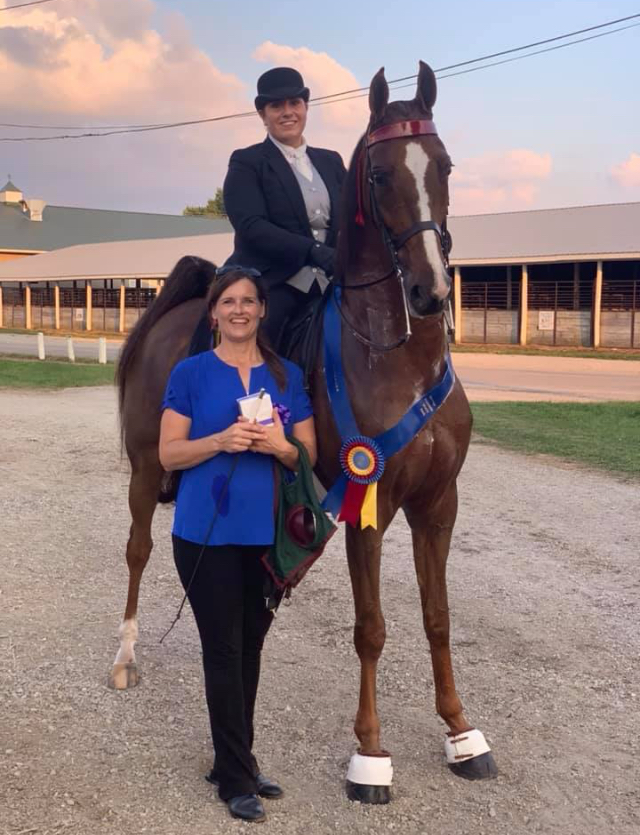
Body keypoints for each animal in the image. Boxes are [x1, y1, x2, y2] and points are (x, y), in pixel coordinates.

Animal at [112, 62, 498, 800]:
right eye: (379, 175)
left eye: (444, 165)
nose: (431, 292)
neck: (401, 360)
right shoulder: (370, 504)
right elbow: (372, 627)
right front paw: (370, 756)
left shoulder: (439, 504)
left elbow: (437, 619)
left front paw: (463, 735)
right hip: (148, 469)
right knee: (140, 550)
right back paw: (124, 654)